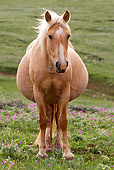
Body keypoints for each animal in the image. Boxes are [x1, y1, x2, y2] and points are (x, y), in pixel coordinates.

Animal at [16, 10, 88, 159]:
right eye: (49, 36)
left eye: (68, 35)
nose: (62, 65)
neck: (50, 69)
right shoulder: (39, 93)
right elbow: (43, 121)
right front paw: (42, 151)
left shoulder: (64, 93)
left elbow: (62, 121)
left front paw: (67, 152)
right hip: (48, 99)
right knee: (49, 118)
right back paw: (49, 146)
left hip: (55, 99)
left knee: (56, 118)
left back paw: (57, 145)